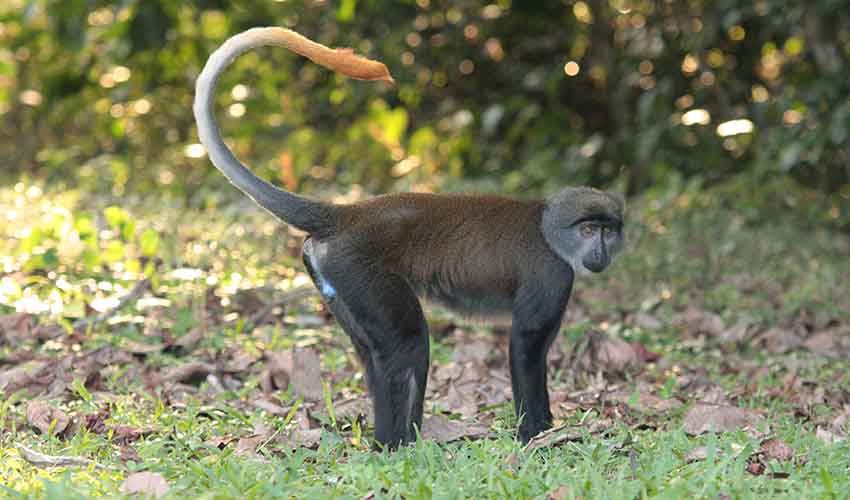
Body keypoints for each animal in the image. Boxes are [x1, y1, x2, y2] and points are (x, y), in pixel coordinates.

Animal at [194, 27, 625, 449]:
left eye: (608, 230)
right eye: (589, 230)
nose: (601, 250)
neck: (546, 227)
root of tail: (348, 214)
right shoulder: (552, 275)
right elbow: (525, 346)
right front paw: (536, 436)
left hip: (337, 280)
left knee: (374, 353)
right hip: (358, 269)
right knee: (408, 342)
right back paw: (397, 445)